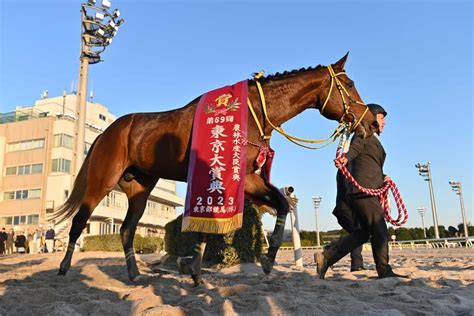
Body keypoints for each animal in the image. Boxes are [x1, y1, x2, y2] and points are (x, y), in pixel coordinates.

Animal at [53, 53, 376, 284]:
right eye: (349, 85)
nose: (371, 122)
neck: (251, 113)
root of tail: (108, 131)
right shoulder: (224, 175)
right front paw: (198, 269)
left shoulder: (245, 177)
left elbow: (281, 204)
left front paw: (267, 258)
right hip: (102, 180)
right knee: (79, 221)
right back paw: (64, 267)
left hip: (140, 189)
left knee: (126, 230)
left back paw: (133, 274)